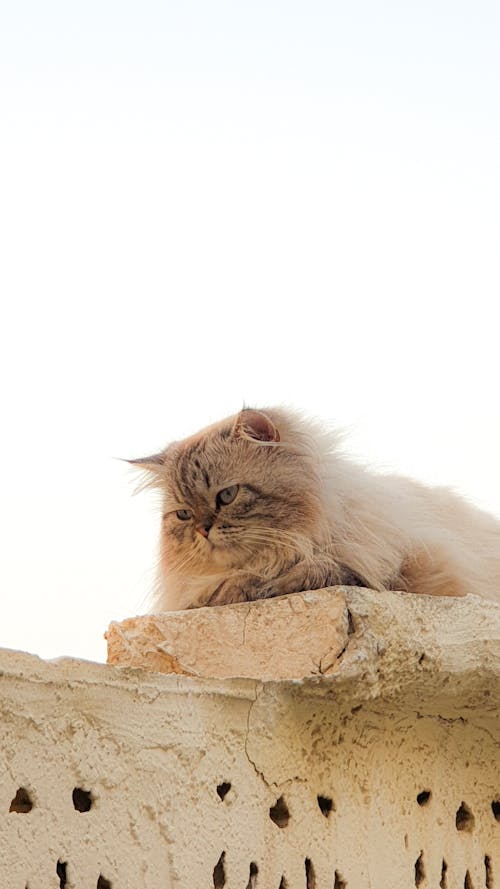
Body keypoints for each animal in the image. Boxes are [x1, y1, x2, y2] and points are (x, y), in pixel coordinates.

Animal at [131, 408, 500, 612]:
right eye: (184, 514)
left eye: (227, 495)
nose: (202, 530)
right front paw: (236, 589)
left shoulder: (391, 565)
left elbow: (326, 569)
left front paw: (270, 585)